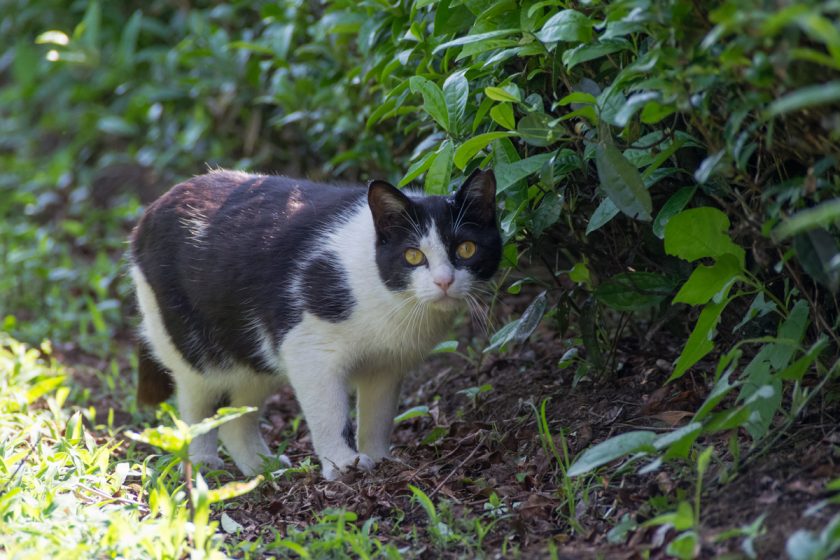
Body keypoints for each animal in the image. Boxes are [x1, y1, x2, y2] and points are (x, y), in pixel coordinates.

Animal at [128, 168, 502, 480]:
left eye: (466, 249)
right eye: (413, 255)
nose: (444, 281)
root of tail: (149, 213)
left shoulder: (386, 366)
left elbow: (378, 416)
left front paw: (380, 458)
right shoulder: (309, 349)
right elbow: (328, 413)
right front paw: (344, 464)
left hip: (253, 353)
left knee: (239, 412)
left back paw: (261, 467)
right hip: (194, 343)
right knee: (197, 402)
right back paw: (203, 464)